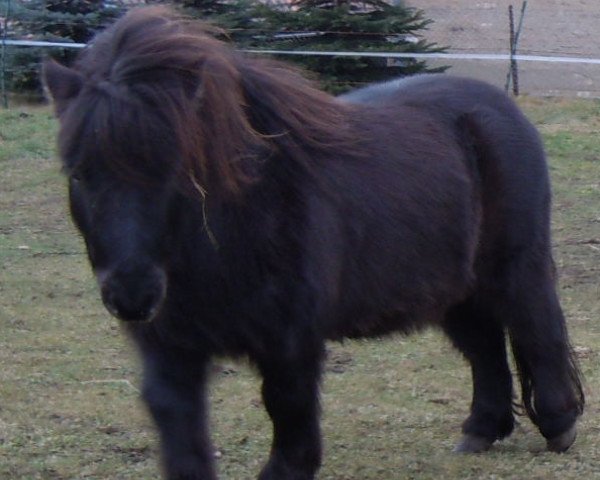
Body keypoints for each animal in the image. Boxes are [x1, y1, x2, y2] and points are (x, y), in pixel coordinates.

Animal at [44, 7, 584, 480]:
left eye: (177, 168)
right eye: (79, 172)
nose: (132, 294)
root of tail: (500, 108)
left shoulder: (290, 343)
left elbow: (291, 429)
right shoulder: (171, 352)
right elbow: (182, 443)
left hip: (516, 265)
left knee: (537, 328)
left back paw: (558, 425)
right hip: (455, 289)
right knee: (485, 347)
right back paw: (481, 430)